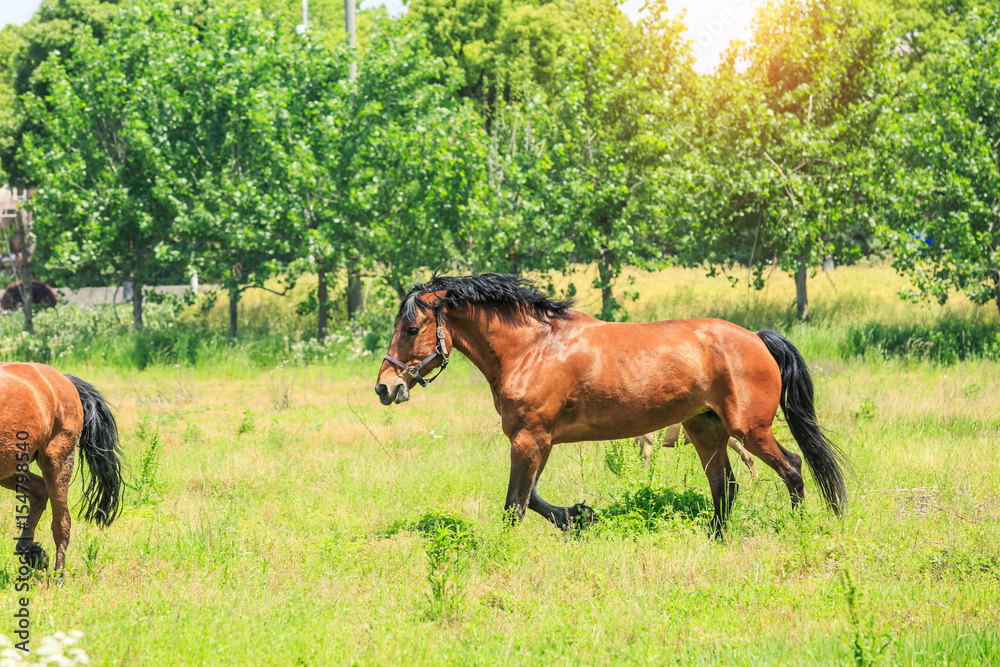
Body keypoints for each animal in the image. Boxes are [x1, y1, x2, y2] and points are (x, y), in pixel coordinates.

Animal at [0, 362, 122, 576]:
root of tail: (64, 379)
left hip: (56, 460)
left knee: (61, 523)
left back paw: (57, 577)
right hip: (10, 466)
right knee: (40, 491)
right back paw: (32, 553)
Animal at [378, 274, 848, 536]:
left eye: (412, 328)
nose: (385, 387)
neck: (534, 348)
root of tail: (756, 337)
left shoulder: (530, 439)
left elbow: (515, 504)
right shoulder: (539, 441)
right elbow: (533, 498)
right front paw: (578, 516)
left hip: (748, 430)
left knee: (792, 468)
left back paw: (797, 526)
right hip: (705, 429)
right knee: (724, 485)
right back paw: (716, 539)